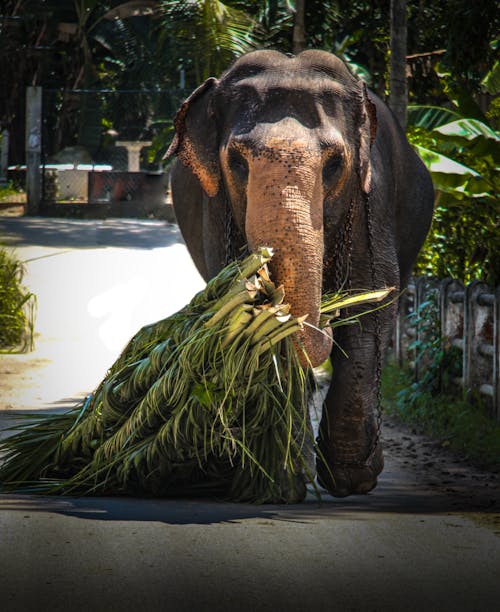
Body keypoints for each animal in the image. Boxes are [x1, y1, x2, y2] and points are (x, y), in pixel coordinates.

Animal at [167, 50, 434, 500]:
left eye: (335, 164)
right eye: (236, 161)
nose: (324, 315)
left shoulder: (371, 201)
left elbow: (370, 308)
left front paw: (351, 481)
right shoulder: (214, 209)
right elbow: (249, 319)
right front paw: (281, 481)